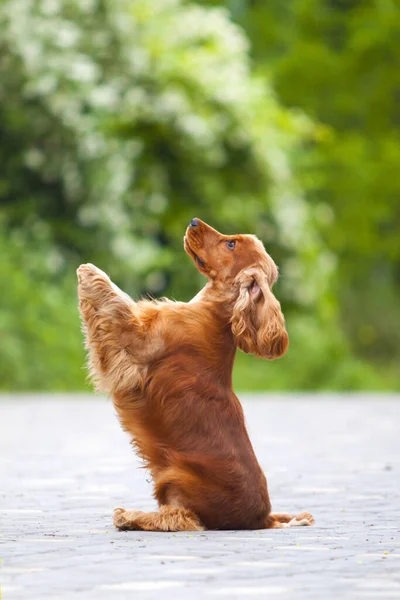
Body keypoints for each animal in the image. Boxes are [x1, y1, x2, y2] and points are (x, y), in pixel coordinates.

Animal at [76, 219, 314, 528]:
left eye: (230, 244)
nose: (193, 222)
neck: (216, 310)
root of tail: (263, 519)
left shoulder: (138, 342)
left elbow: (117, 304)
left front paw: (90, 272)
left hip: (175, 477)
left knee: (179, 518)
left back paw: (130, 515)